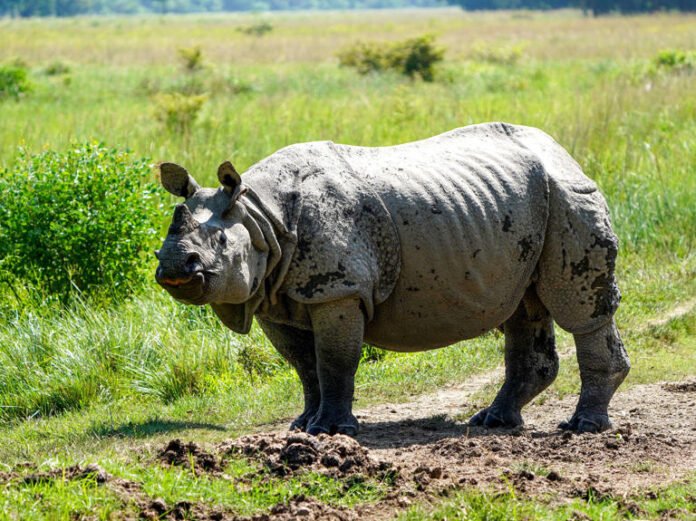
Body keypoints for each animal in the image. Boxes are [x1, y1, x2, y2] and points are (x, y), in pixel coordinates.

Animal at [155, 122, 630, 436]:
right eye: (166, 240)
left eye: (218, 242)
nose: (174, 268)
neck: (260, 216)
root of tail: (562, 151)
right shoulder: (275, 294)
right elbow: (304, 365)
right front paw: (302, 424)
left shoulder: (339, 290)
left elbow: (334, 361)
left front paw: (330, 432)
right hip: (521, 209)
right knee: (521, 307)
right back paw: (494, 422)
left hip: (569, 194)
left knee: (579, 311)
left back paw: (582, 427)